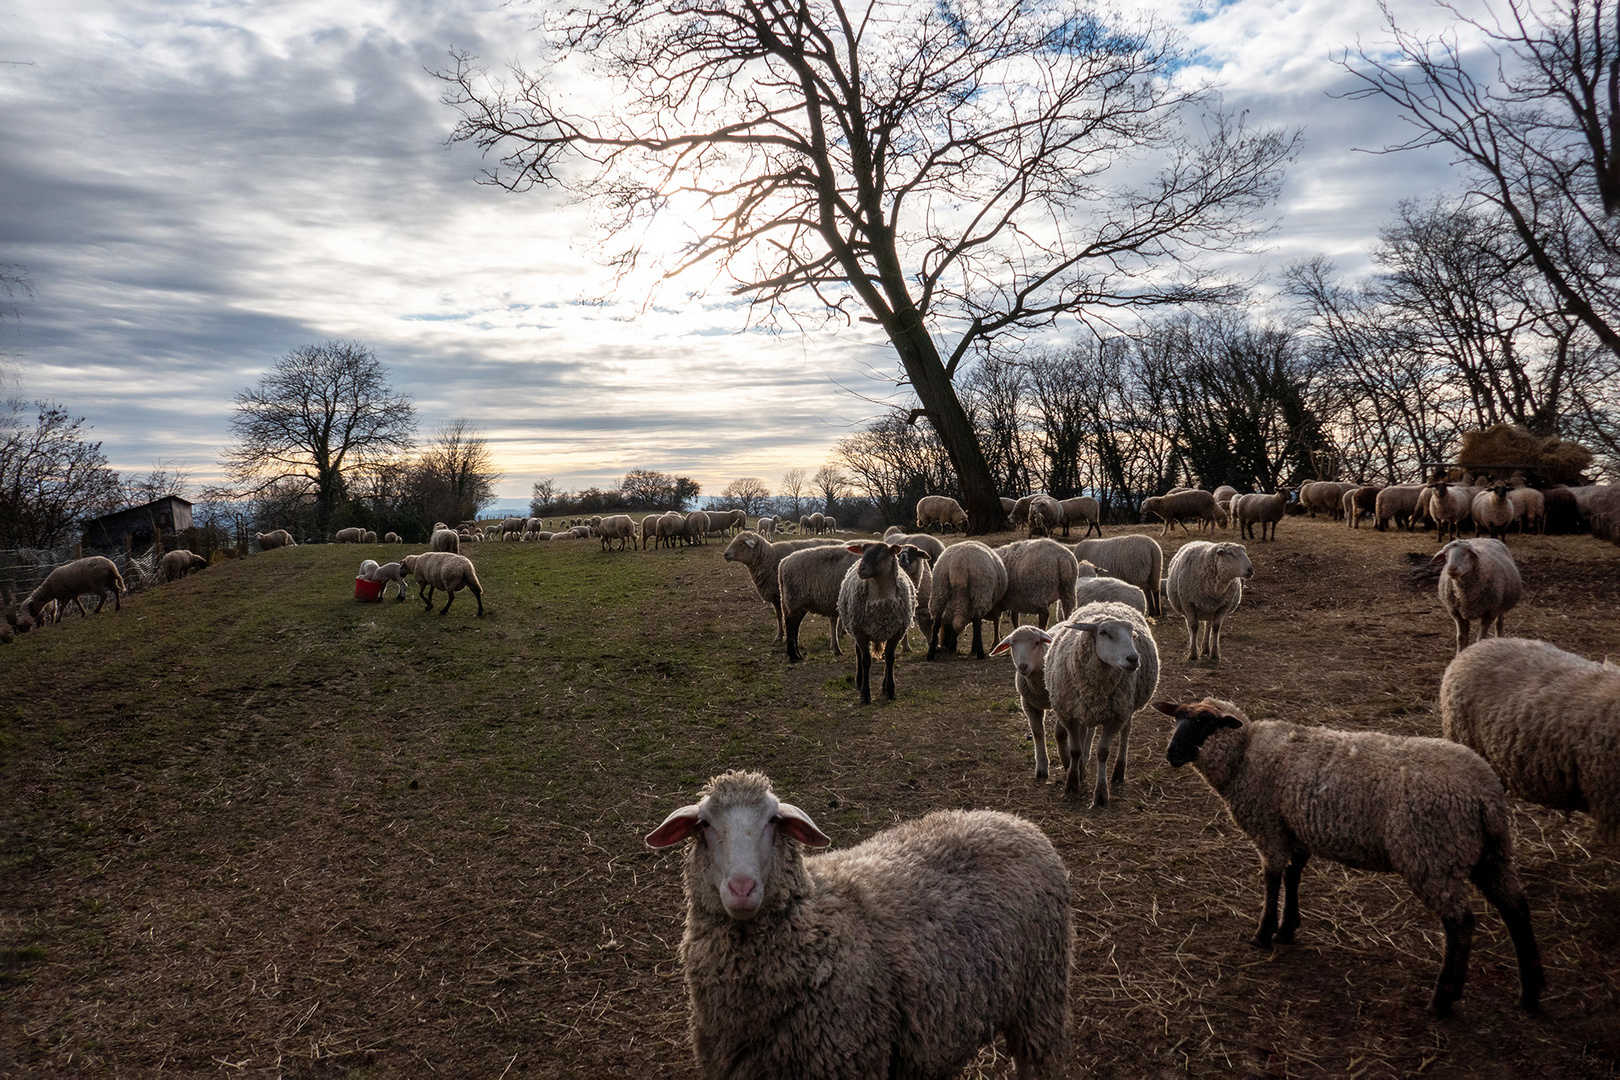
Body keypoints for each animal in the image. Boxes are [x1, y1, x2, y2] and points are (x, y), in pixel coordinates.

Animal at [835, 544, 926, 705]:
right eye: (863, 550)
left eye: (883, 551)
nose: (861, 569)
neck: (880, 599)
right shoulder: (860, 632)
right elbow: (865, 661)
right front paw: (865, 693)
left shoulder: (897, 632)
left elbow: (890, 658)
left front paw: (890, 690)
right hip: (854, 627)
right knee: (858, 653)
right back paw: (859, 681)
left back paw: (883, 686)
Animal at [1036, 599, 1153, 803]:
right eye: (1103, 633)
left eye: (1131, 635)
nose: (1133, 659)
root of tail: (1107, 602)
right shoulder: (1068, 714)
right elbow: (1075, 750)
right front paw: (1072, 783)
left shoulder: (1116, 717)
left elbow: (1102, 753)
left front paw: (1101, 793)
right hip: (1083, 709)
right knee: (1084, 734)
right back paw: (1082, 769)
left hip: (1127, 708)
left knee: (1126, 733)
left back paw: (1119, 770)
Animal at [1159, 696, 1548, 1016]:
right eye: (1177, 719)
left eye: (1204, 723)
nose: (1171, 754)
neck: (1244, 755)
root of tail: (1486, 795)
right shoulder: (1295, 830)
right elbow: (1293, 876)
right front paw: (1287, 929)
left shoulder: (1270, 827)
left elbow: (1272, 879)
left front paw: (1264, 933)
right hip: (1491, 855)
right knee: (1516, 908)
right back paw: (1530, 991)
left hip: (1432, 856)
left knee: (1461, 923)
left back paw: (1443, 998)